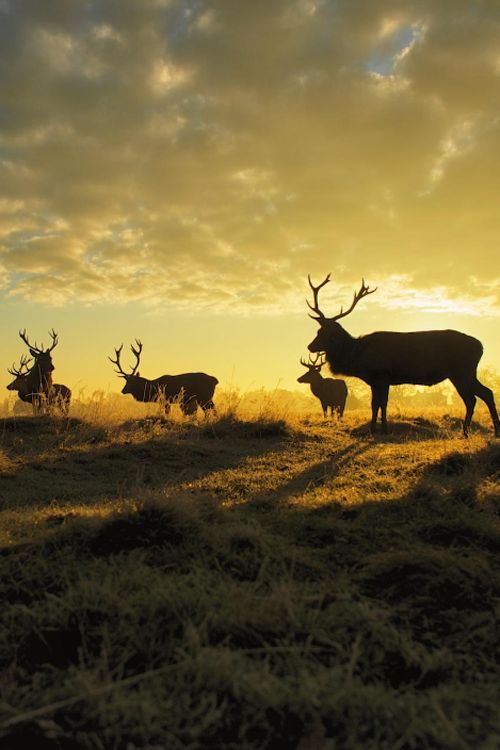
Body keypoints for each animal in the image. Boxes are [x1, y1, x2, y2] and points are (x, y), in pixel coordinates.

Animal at [306, 276, 498, 440]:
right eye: (318, 331)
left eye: (323, 333)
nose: (310, 346)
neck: (358, 357)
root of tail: (481, 346)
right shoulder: (376, 381)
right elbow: (375, 404)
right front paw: (374, 429)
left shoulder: (382, 376)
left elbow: (381, 403)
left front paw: (382, 429)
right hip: (463, 374)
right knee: (482, 395)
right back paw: (479, 432)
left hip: (462, 372)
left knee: (476, 397)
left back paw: (473, 432)